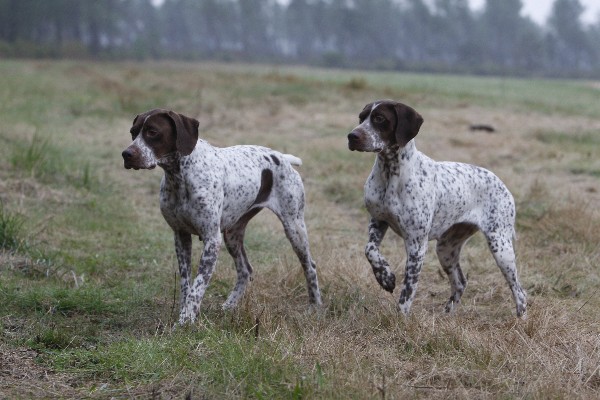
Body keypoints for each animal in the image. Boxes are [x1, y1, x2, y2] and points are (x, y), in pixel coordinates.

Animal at [119, 109, 322, 324]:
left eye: (152, 132)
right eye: (133, 132)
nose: (127, 154)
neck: (180, 176)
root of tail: (283, 158)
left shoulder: (211, 239)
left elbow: (197, 287)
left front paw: (185, 321)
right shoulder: (181, 236)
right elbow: (186, 285)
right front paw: (184, 314)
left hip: (294, 227)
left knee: (310, 266)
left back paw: (315, 308)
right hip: (232, 235)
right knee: (245, 270)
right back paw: (229, 306)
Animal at [346, 101, 524, 318]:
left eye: (379, 118)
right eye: (361, 118)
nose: (352, 136)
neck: (391, 173)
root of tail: (503, 185)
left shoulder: (416, 245)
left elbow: (408, 290)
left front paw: (400, 318)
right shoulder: (378, 221)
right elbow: (370, 250)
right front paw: (385, 277)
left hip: (501, 247)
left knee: (519, 291)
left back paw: (521, 318)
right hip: (446, 249)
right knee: (460, 282)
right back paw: (446, 315)